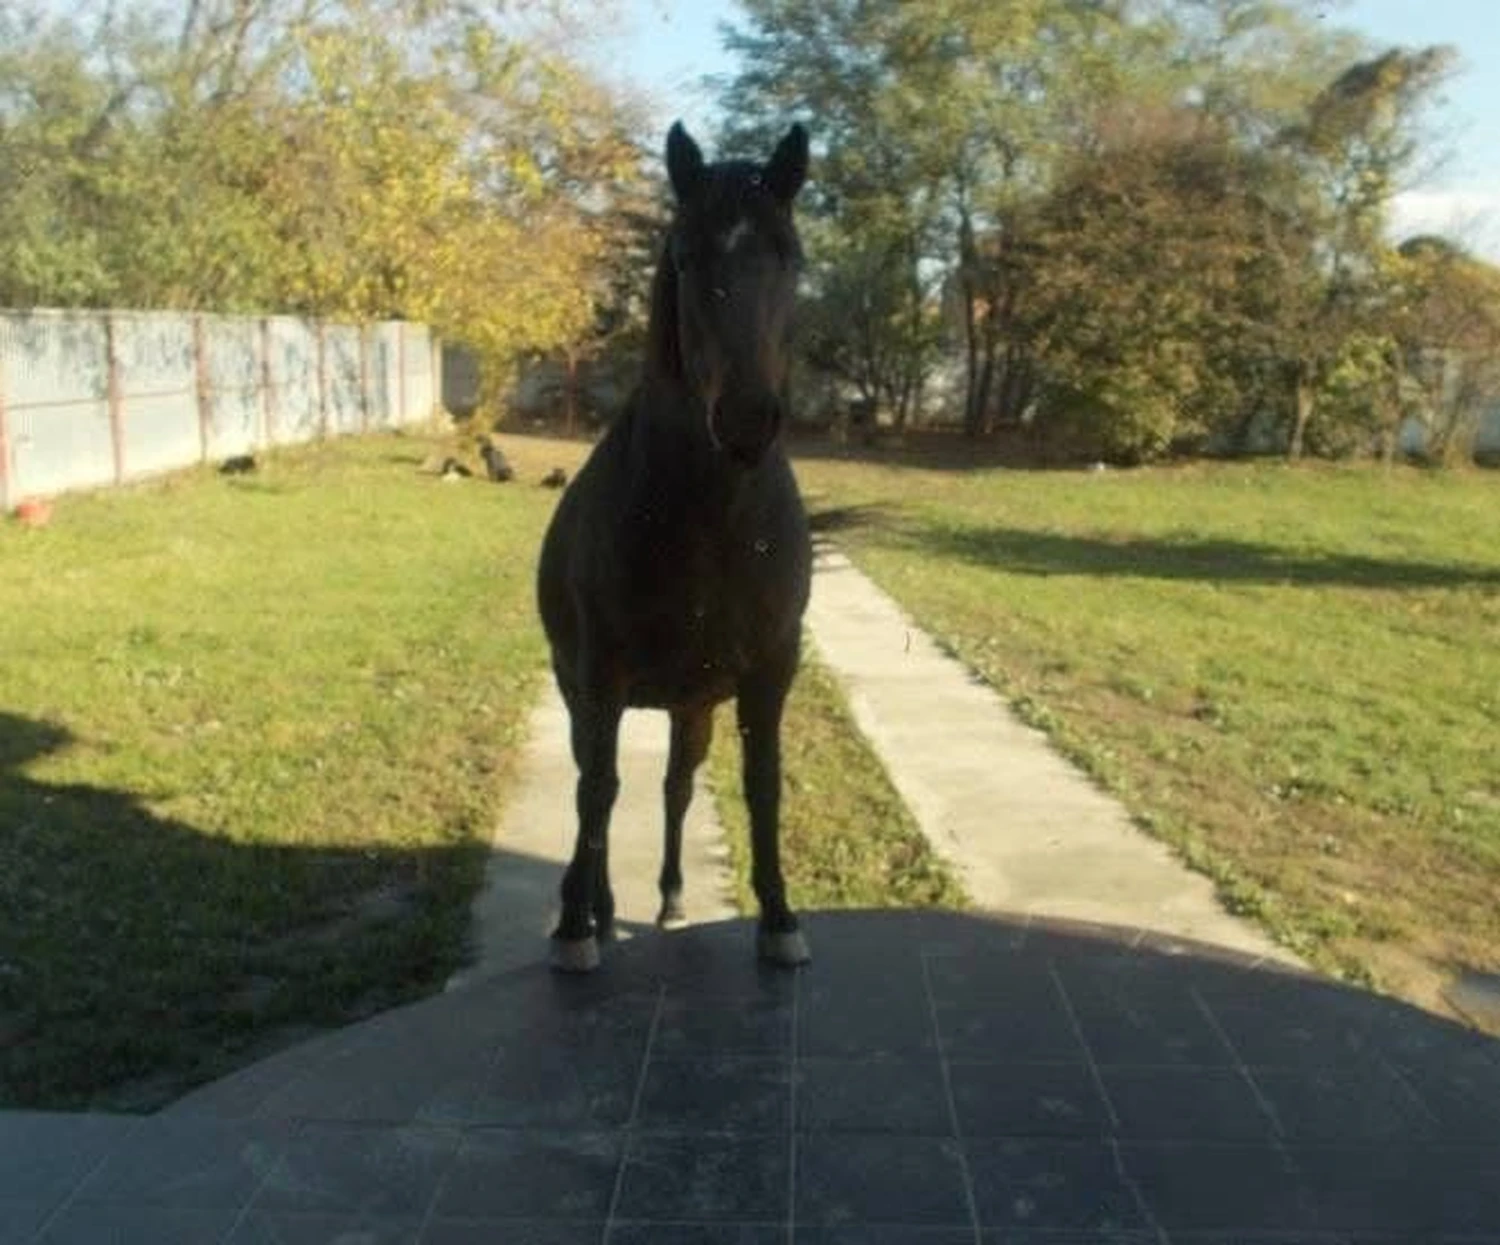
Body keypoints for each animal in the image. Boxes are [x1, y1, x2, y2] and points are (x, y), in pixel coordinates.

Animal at [536, 120, 812, 973]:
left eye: (792, 257)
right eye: (687, 258)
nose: (750, 419)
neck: (708, 519)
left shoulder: (770, 672)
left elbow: (763, 784)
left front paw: (779, 918)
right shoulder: (602, 675)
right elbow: (596, 792)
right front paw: (574, 928)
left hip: (693, 709)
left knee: (674, 788)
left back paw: (669, 898)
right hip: (588, 696)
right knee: (598, 786)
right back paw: (593, 905)